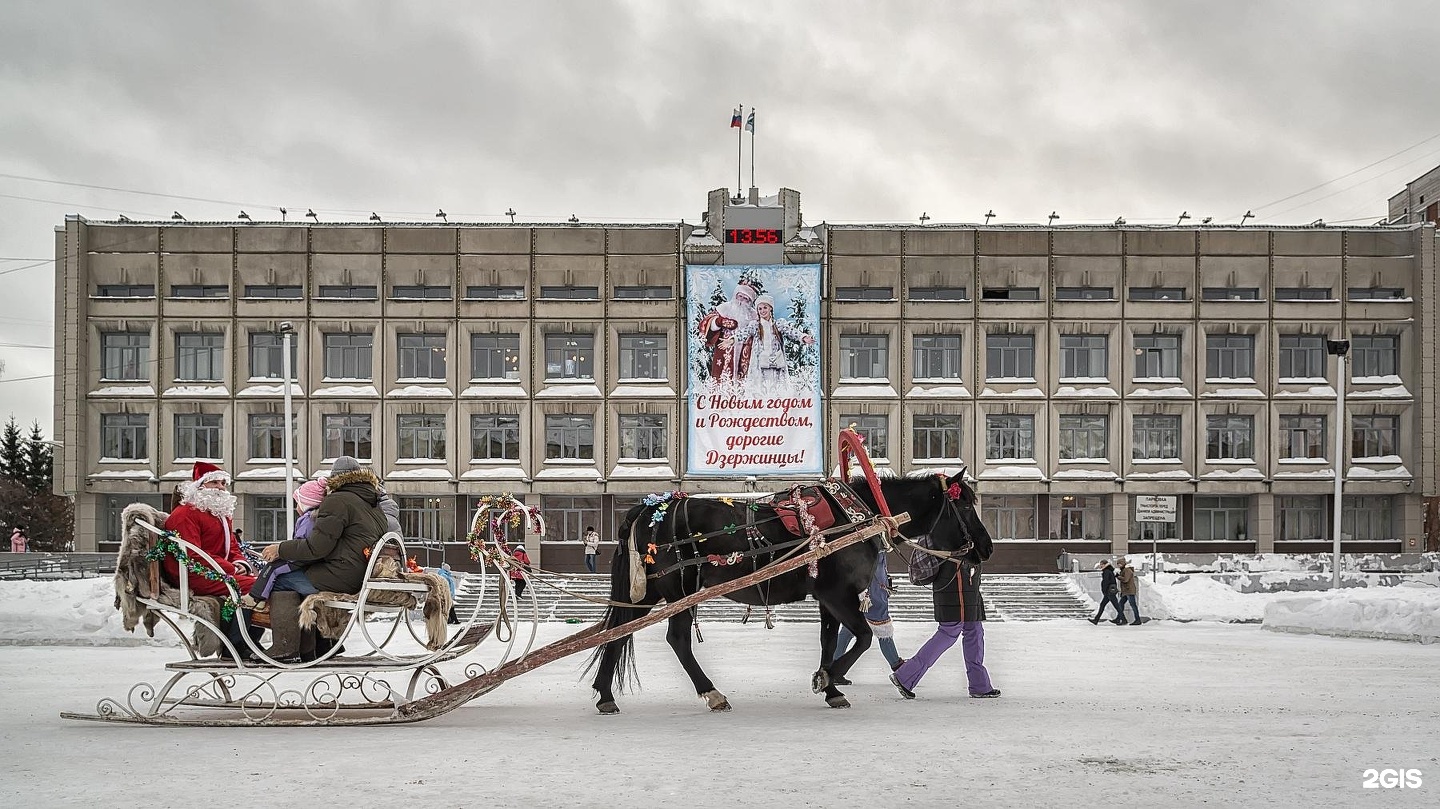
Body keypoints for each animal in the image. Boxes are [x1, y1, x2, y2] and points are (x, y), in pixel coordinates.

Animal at [584, 472, 990, 711]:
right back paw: (712, 693)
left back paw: (605, 694)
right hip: (679, 589)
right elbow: (861, 637)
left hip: (648, 593)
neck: (857, 517)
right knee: (676, 639)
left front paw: (831, 686)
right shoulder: (838, 593)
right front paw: (827, 678)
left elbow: (831, 640)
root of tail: (648, 508)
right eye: (966, 505)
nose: (985, 549)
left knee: (617, 634)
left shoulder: (827, 598)